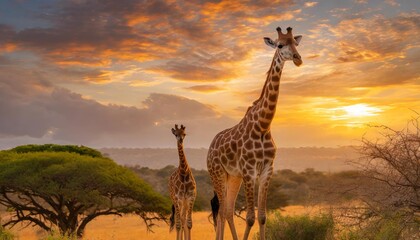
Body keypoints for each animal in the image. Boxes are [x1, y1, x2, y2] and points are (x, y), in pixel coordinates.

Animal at [207, 26, 302, 240]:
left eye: (296, 43)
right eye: (280, 45)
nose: (298, 58)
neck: (263, 125)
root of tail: (210, 146)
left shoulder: (267, 168)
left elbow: (262, 216)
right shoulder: (249, 169)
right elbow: (250, 217)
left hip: (233, 176)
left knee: (227, 210)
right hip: (217, 173)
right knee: (222, 209)